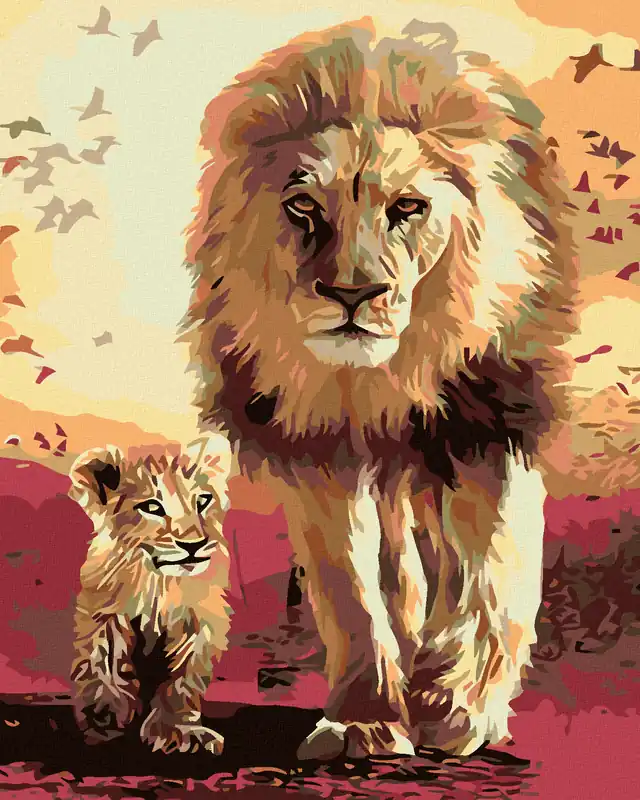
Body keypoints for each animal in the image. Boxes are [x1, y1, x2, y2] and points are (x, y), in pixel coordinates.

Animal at [68, 436, 234, 755]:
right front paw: (104, 716)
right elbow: (103, 661)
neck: (160, 583)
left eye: (202, 501)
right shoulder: (104, 612)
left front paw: (181, 731)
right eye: (152, 507)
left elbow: (182, 681)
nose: (193, 545)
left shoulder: (199, 625)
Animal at [180, 17, 578, 759]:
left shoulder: (489, 422)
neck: (378, 380)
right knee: (402, 568)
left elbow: (493, 573)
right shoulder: (320, 452)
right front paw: (365, 719)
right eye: (303, 206)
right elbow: (352, 590)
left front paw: (457, 704)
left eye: (408, 208)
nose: (351, 294)